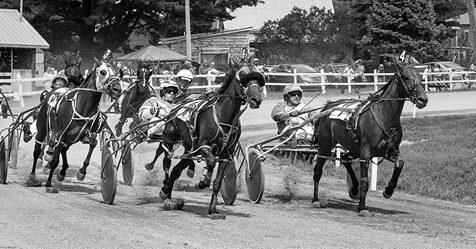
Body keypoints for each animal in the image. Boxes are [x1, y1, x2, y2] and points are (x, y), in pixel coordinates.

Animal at [28, 52, 122, 193]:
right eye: (103, 72)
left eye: (116, 72)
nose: (117, 89)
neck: (83, 106)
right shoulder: (61, 134)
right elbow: (55, 159)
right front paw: (49, 184)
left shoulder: (86, 133)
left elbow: (93, 143)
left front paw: (81, 172)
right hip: (43, 128)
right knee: (37, 149)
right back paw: (33, 176)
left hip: (71, 137)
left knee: (64, 149)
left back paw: (62, 172)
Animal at [159, 58, 264, 218]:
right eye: (243, 74)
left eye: (257, 74)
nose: (256, 99)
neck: (223, 116)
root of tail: (176, 108)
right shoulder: (203, 146)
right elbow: (211, 161)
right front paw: (202, 183)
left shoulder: (226, 155)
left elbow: (218, 182)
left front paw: (213, 209)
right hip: (170, 139)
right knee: (167, 160)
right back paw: (165, 190)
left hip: (190, 150)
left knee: (176, 169)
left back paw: (169, 199)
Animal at [312, 57, 428, 215]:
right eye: (405, 77)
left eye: (421, 77)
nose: (423, 99)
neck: (384, 117)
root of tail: (328, 106)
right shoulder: (366, 153)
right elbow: (365, 181)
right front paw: (362, 207)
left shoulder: (391, 150)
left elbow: (400, 164)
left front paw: (388, 190)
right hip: (325, 145)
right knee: (318, 171)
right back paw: (315, 199)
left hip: (353, 147)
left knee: (345, 158)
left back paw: (354, 187)